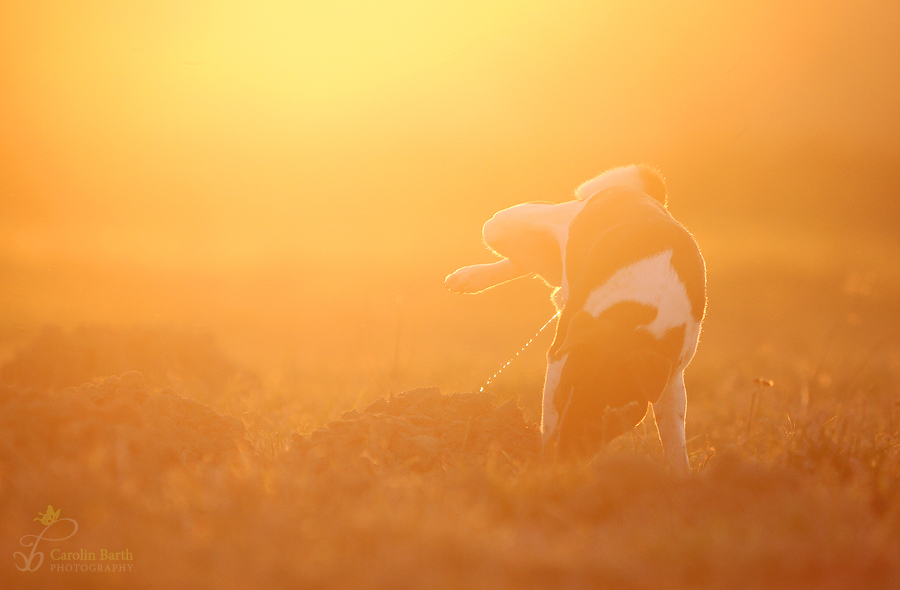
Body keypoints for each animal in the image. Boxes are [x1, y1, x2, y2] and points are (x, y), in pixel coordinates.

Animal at [446, 166, 708, 476]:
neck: (636, 315)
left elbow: (675, 442)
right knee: (522, 256)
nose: (559, 461)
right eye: (560, 398)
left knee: (533, 266)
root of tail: (636, 191)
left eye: (607, 420)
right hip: (502, 226)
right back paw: (468, 277)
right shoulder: (560, 354)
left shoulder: (671, 375)